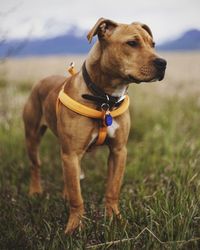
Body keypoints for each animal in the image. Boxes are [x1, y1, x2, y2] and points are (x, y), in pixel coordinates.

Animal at [22, 18, 166, 234]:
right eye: (132, 43)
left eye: (153, 44)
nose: (163, 63)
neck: (104, 99)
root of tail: (42, 80)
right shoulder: (72, 153)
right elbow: (77, 197)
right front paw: (74, 227)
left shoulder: (118, 151)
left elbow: (112, 190)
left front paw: (116, 219)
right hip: (33, 137)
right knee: (36, 166)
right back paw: (35, 191)